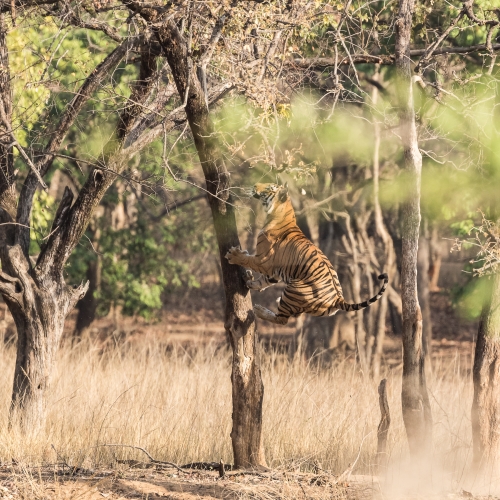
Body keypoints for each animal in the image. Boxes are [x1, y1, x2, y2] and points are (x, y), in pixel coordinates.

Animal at [225, 182, 388, 326]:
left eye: (269, 187)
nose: (254, 185)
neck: (279, 213)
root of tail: (338, 299)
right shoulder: (274, 271)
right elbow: (264, 281)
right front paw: (249, 281)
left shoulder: (264, 260)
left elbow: (248, 260)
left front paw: (234, 255)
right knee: (294, 314)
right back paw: (274, 302)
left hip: (293, 289)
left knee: (282, 319)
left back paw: (260, 310)